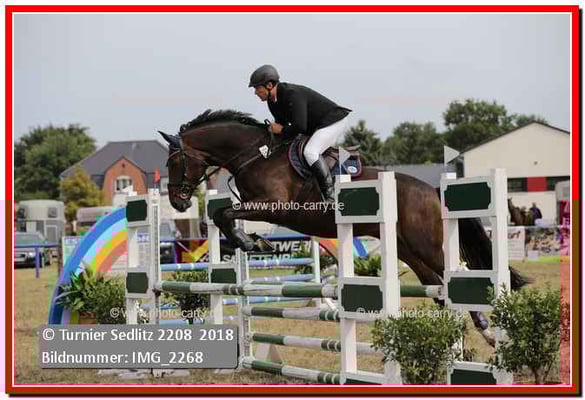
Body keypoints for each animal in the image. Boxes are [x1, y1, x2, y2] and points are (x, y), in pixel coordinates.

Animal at [159, 109, 530, 344]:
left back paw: (490, 332)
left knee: (460, 276)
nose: (177, 201)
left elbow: (225, 215)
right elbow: (222, 215)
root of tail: (432, 190)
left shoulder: (276, 206)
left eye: (174, 162)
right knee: (437, 288)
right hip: (409, 251)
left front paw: (252, 243)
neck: (256, 153)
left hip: (426, 245)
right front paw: (252, 241)